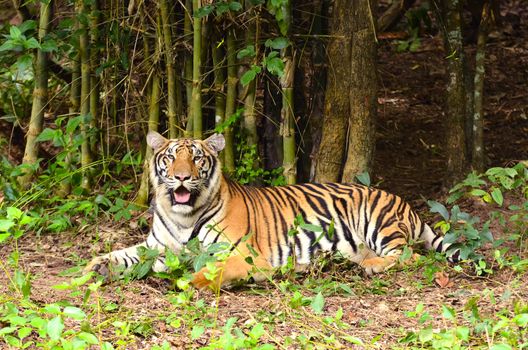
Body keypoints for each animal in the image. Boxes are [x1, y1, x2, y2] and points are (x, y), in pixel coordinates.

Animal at [85, 133, 458, 288]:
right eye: (171, 157)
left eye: (197, 158)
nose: (181, 177)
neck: (183, 216)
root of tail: (405, 203)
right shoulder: (157, 246)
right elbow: (123, 254)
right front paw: (94, 266)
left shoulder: (243, 255)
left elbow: (213, 271)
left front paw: (190, 281)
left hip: (378, 222)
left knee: (411, 256)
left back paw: (372, 265)